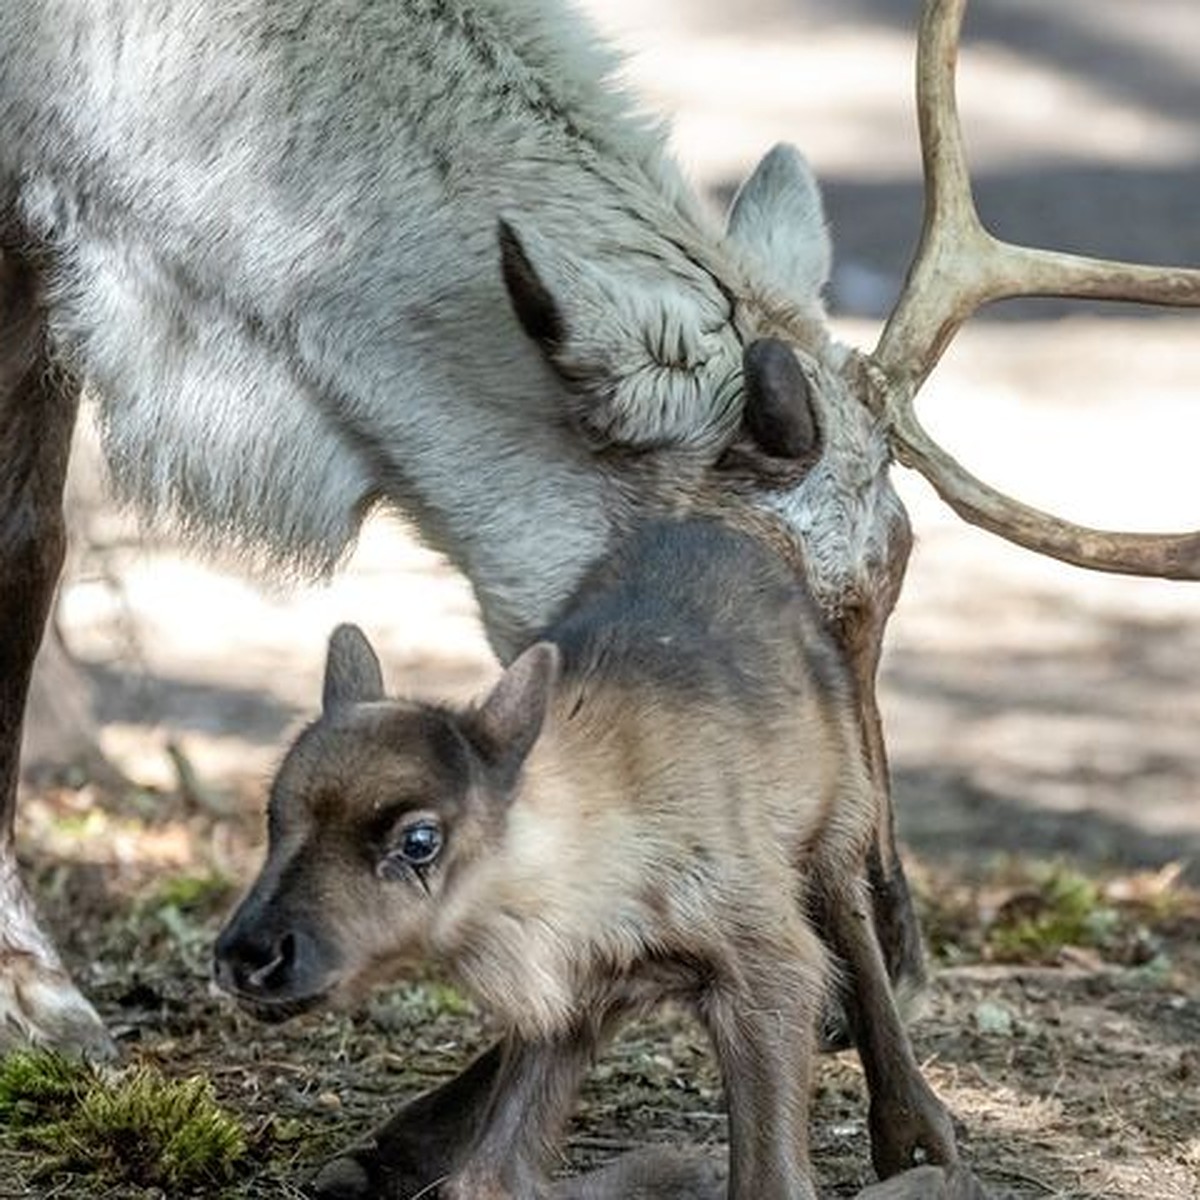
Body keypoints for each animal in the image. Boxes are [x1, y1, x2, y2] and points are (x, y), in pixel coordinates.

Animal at [213, 511, 945, 1195]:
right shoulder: (568, 997)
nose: (249, 957)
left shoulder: (767, 961)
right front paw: (689, 1168)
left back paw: (918, 1138)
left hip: (838, 827)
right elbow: (490, 1178)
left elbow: (771, 1181)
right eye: (274, 813)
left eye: (419, 839)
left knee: (859, 936)